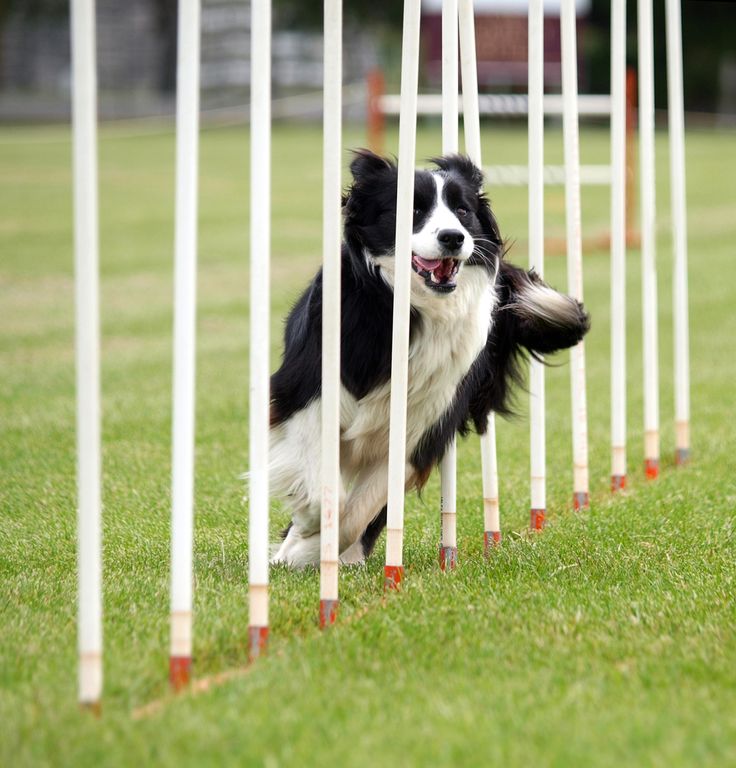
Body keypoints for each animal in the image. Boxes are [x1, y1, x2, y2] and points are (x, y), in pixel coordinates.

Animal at [268, 153, 588, 568]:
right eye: (413, 210)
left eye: (463, 210)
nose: (453, 237)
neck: (412, 309)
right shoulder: (309, 389)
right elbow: (324, 483)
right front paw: (305, 528)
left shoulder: (424, 424)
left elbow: (361, 509)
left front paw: (310, 547)